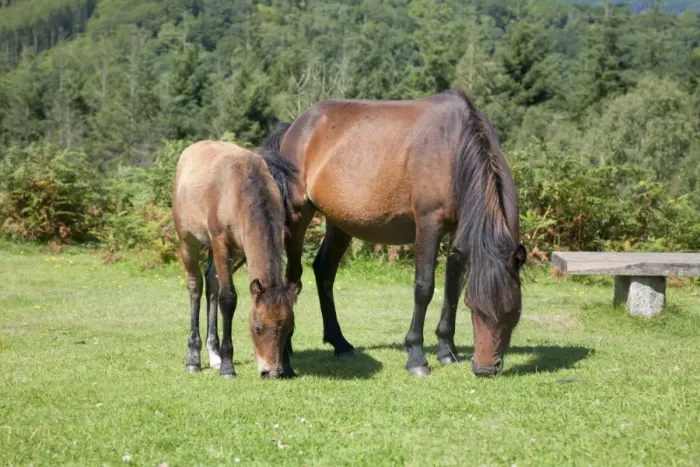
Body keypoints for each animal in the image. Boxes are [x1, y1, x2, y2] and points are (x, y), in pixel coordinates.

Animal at [172, 140, 300, 379]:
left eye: (290, 328)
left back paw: (213, 355)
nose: (271, 372)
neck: (240, 191)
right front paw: (227, 367)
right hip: (188, 241)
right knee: (195, 286)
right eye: (257, 327)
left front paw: (287, 366)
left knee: (211, 284)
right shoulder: (220, 242)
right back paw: (194, 359)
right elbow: (228, 298)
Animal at [262, 89, 527, 377]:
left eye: (514, 311)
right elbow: (424, 288)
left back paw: (340, 343)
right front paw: (416, 357)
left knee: (324, 270)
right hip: (299, 216)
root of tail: (296, 126)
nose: (485, 368)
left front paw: (447, 350)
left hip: (340, 222)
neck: (455, 148)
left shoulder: (458, 229)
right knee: (293, 276)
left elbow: (452, 286)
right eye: (475, 307)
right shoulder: (429, 224)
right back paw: (286, 348)